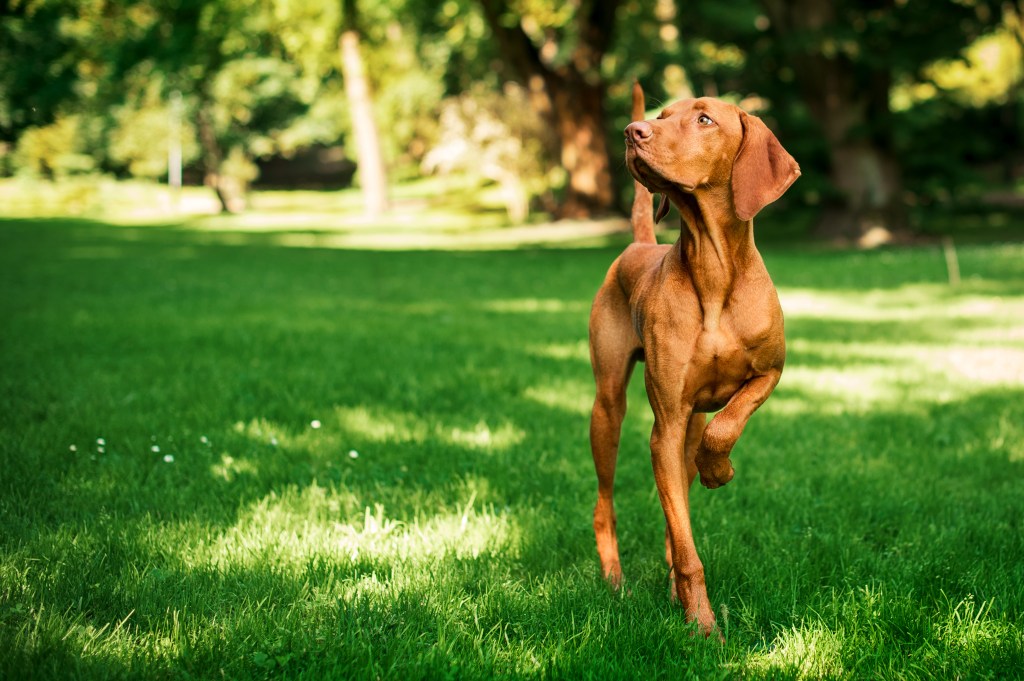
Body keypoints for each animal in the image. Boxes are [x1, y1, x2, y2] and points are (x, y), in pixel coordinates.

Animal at [585, 82, 798, 634]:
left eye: (704, 120)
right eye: (662, 115)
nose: (632, 132)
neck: (714, 268)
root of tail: (641, 245)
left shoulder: (769, 373)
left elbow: (728, 425)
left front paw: (718, 471)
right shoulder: (665, 425)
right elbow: (686, 544)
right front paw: (703, 626)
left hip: (689, 424)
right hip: (608, 408)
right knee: (607, 502)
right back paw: (614, 579)